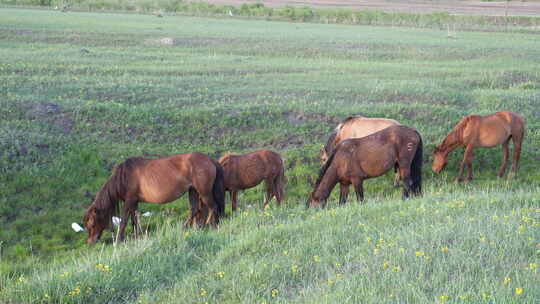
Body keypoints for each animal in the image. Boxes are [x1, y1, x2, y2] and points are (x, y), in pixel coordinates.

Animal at [81, 152, 225, 245]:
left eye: (92, 224)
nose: (90, 242)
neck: (125, 176)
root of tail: (210, 160)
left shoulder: (129, 201)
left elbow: (124, 220)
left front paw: (119, 240)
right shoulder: (134, 202)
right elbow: (135, 220)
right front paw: (137, 236)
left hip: (204, 192)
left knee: (213, 207)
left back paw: (212, 225)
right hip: (193, 191)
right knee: (194, 210)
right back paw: (188, 228)